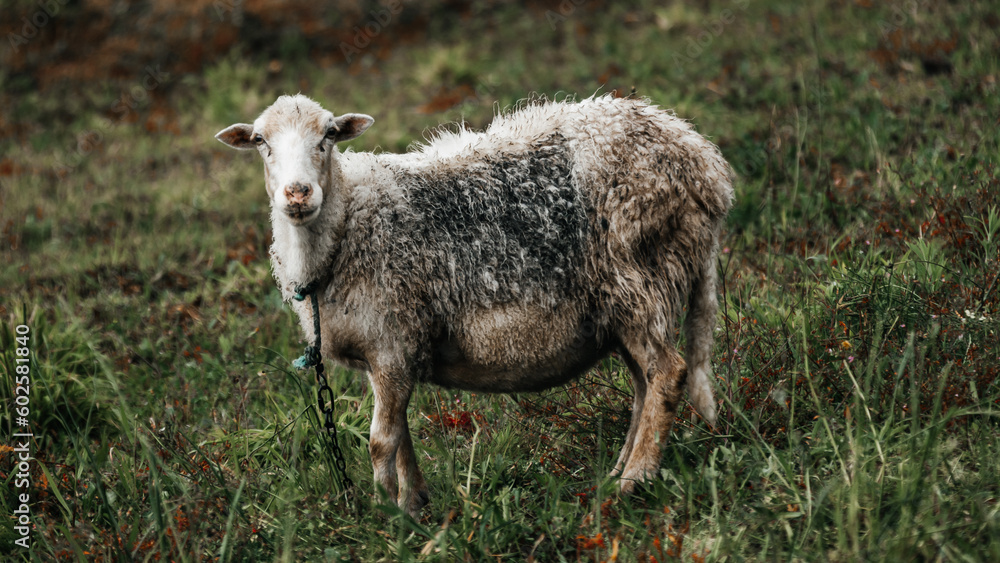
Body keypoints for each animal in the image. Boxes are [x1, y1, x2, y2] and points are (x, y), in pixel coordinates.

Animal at [215, 93, 734, 517]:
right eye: (260, 141)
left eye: (328, 135)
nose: (297, 193)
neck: (347, 225)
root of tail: (703, 160)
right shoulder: (387, 350)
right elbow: (401, 437)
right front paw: (415, 504)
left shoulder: (393, 339)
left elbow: (382, 443)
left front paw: (387, 517)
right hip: (623, 303)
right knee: (645, 382)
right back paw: (619, 473)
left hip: (640, 275)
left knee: (667, 375)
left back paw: (634, 481)